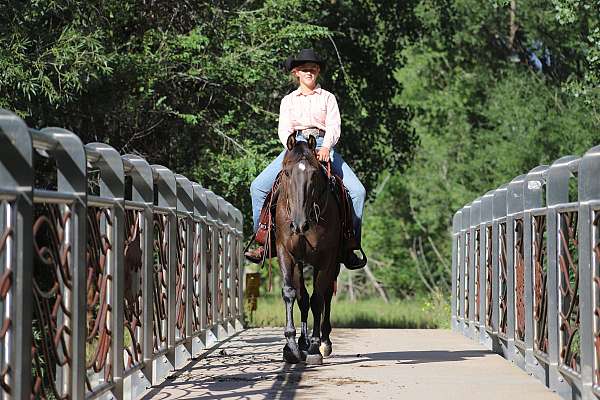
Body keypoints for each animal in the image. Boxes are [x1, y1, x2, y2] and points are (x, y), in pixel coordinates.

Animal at [274, 134, 340, 366]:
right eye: (286, 172)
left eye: (314, 174)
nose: (299, 225)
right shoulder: (286, 254)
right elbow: (291, 293)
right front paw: (292, 347)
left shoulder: (326, 258)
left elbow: (317, 298)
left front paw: (314, 347)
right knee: (302, 296)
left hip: (335, 263)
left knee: (326, 295)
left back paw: (324, 342)